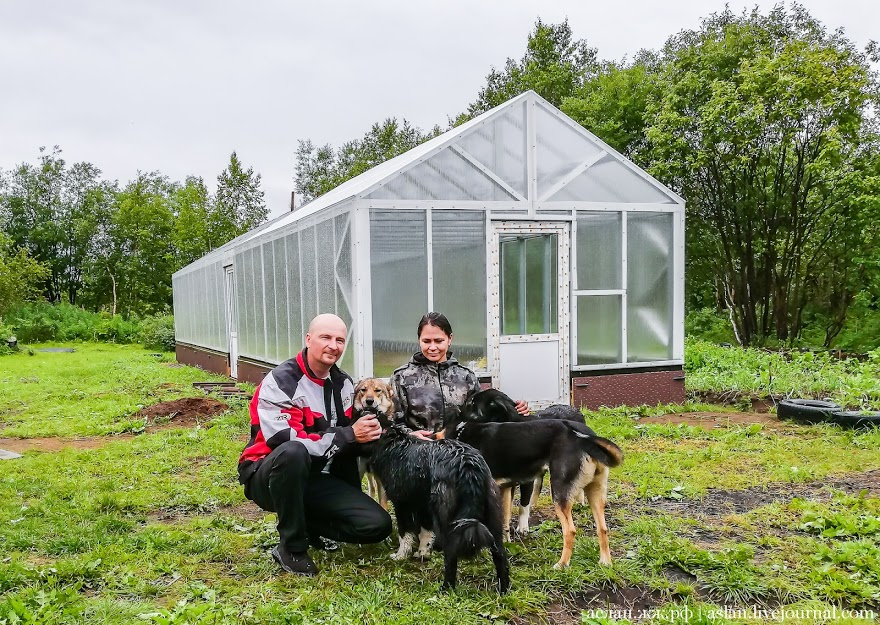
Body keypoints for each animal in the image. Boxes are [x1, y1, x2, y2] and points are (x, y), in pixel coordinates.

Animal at [444, 390, 624, 572]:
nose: (454, 411)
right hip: (595, 491)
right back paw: (605, 562)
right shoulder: (505, 488)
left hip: (559, 492)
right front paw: (506, 542)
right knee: (602, 528)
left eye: (471, 403)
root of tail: (586, 439)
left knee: (570, 531)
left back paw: (562, 564)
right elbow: (505, 519)